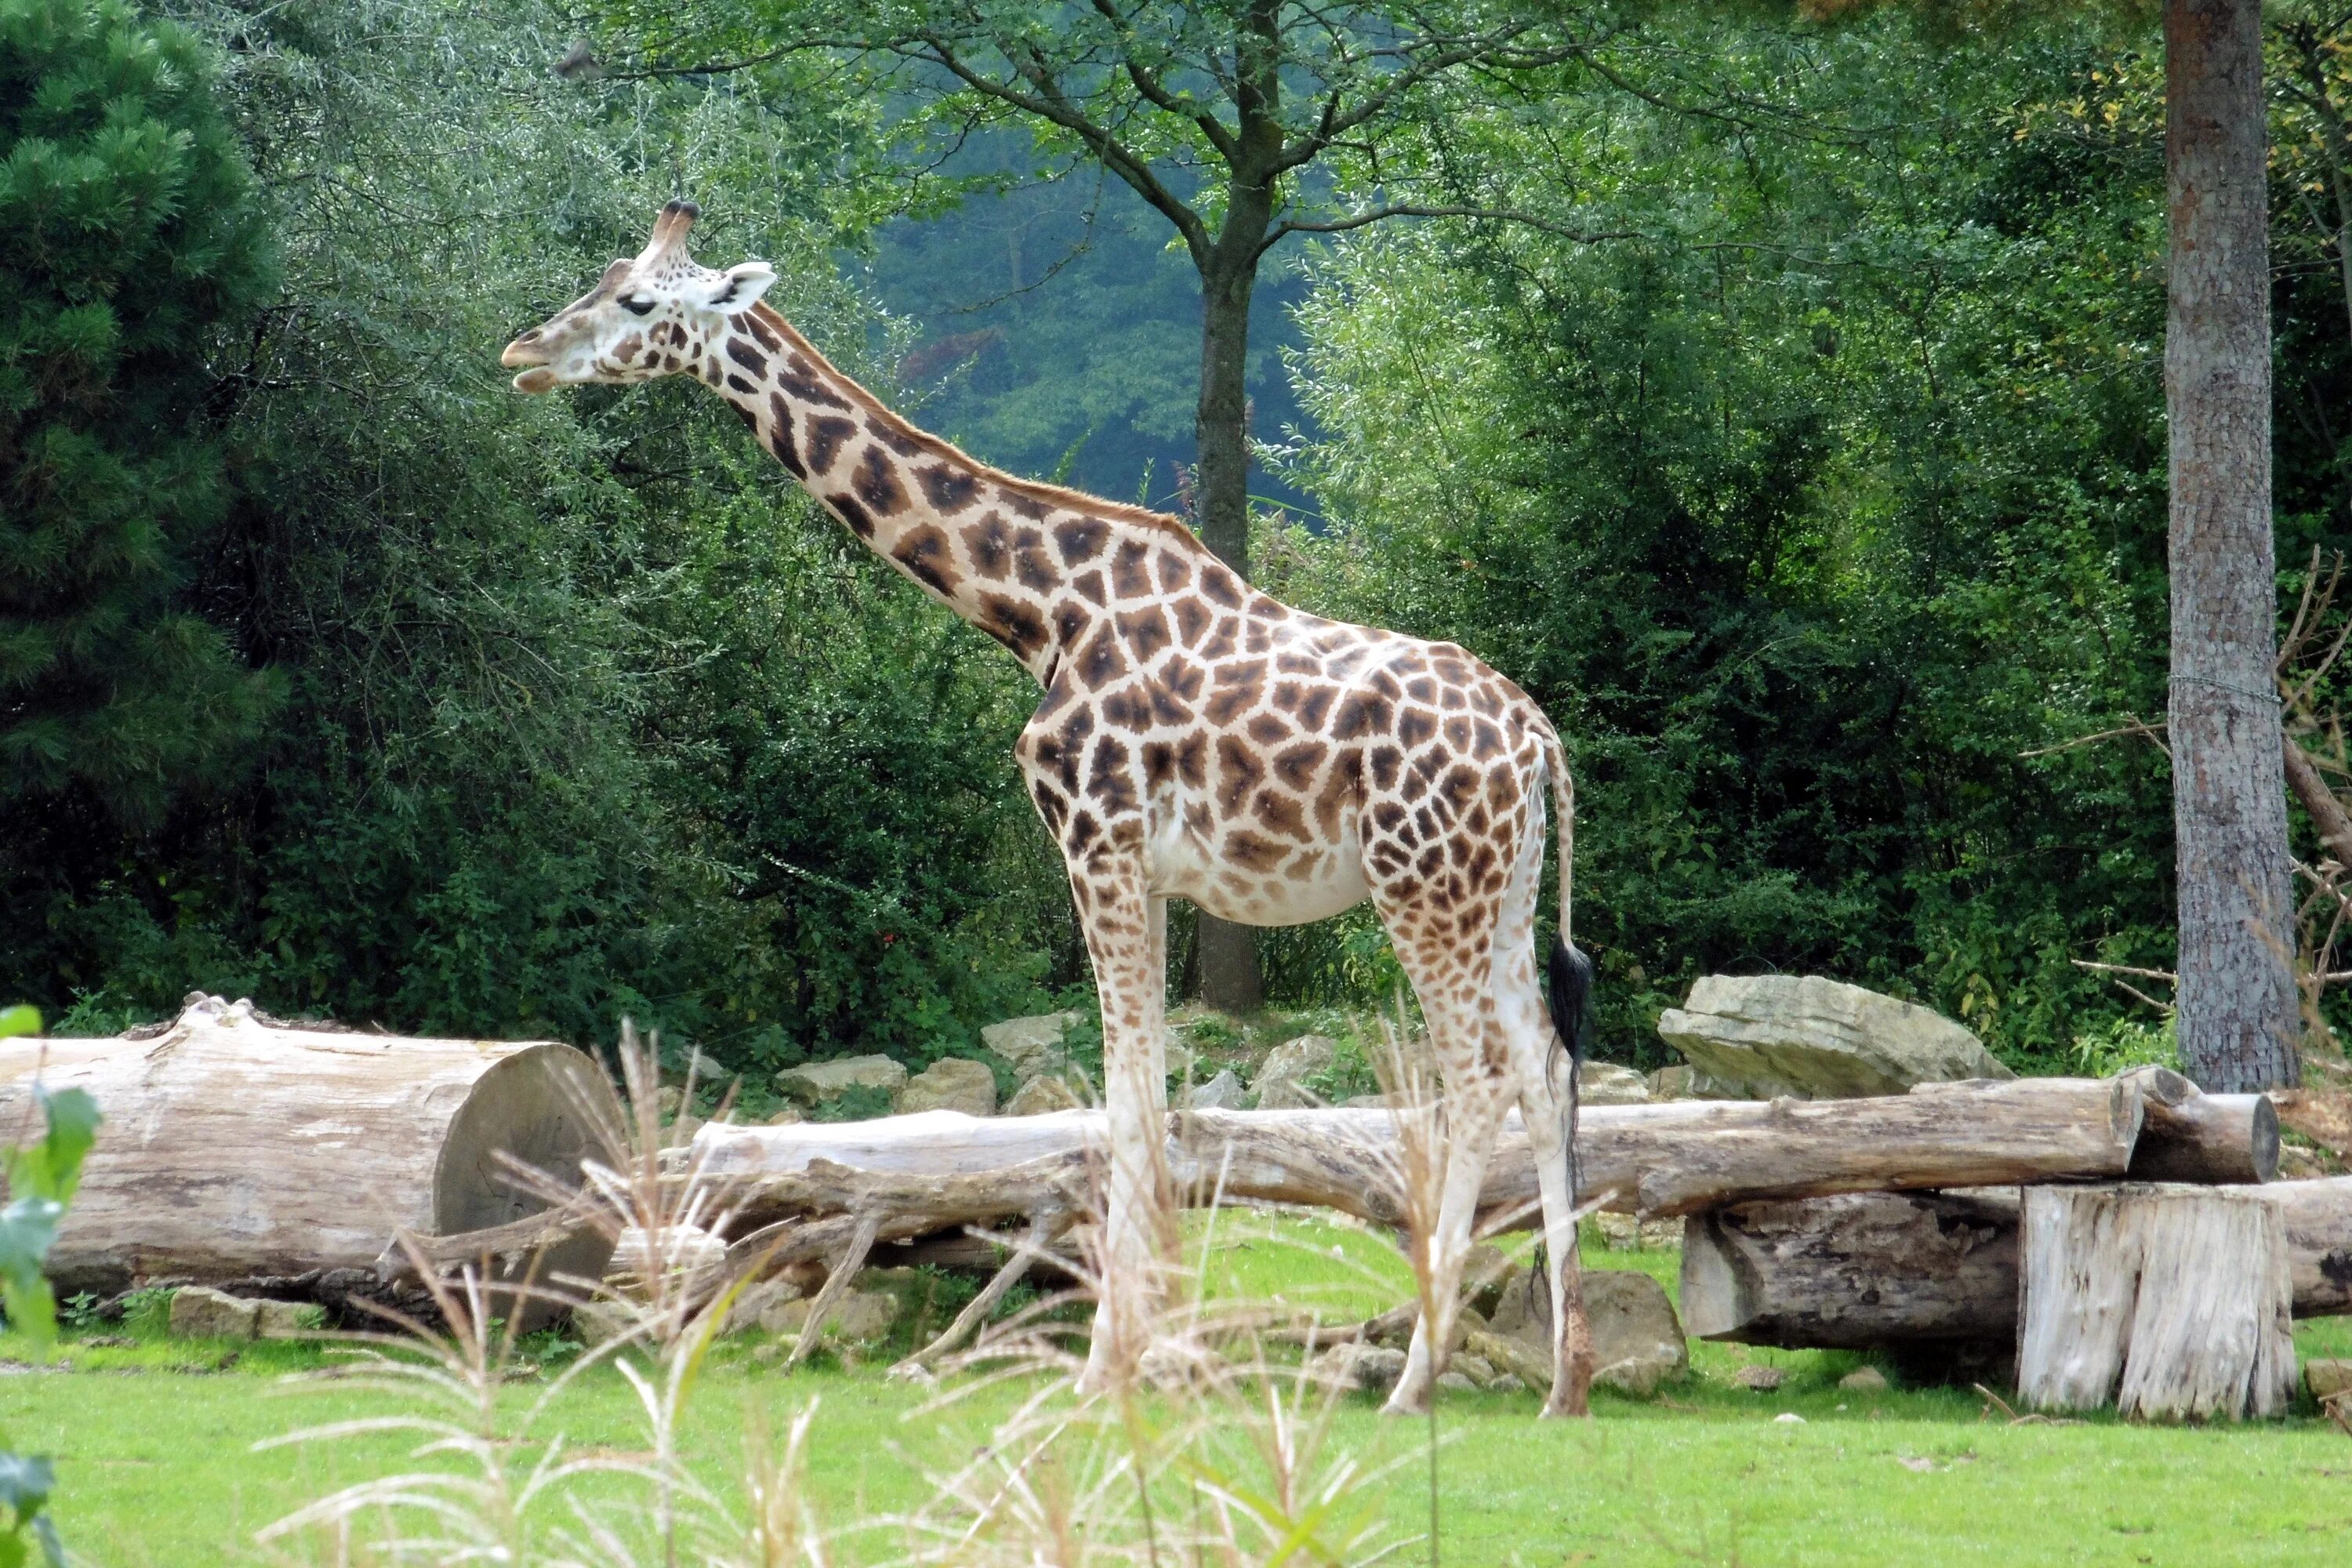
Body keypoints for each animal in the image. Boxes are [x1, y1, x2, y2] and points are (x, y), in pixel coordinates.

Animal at [501, 201, 1599, 1420]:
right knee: (1545, 1068)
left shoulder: (1094, 838)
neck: (1036, 610)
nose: (523, 353)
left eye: (640, 300)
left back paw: (1417, 1374)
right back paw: (1566, 1377)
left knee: (1475, 1076)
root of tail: (1536, 738)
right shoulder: (1152, 869)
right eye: (605, 278)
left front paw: (1108, 1361)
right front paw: (1168, 1354)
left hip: (1422, 886)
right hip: (1499, 894)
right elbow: (1154, 1095)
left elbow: (1121, 1098)